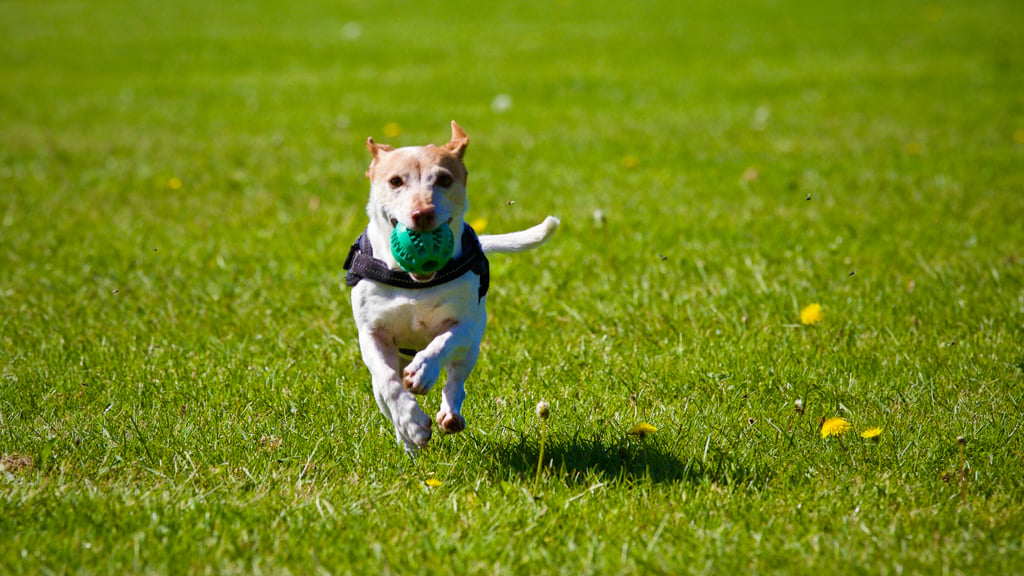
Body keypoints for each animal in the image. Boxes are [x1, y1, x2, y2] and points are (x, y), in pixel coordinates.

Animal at [344, 120, 557, 450]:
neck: (413, 282)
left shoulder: (465, 326)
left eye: (444, 179)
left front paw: (422, 371)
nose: (422, 214)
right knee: (385, 392)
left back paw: (450, 413)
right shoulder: (371, 334)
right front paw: (412, 422)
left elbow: (441, 344)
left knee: (456, 379)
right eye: (395, 181)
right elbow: (389, 383)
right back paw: (407, 441)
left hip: (472, 347)